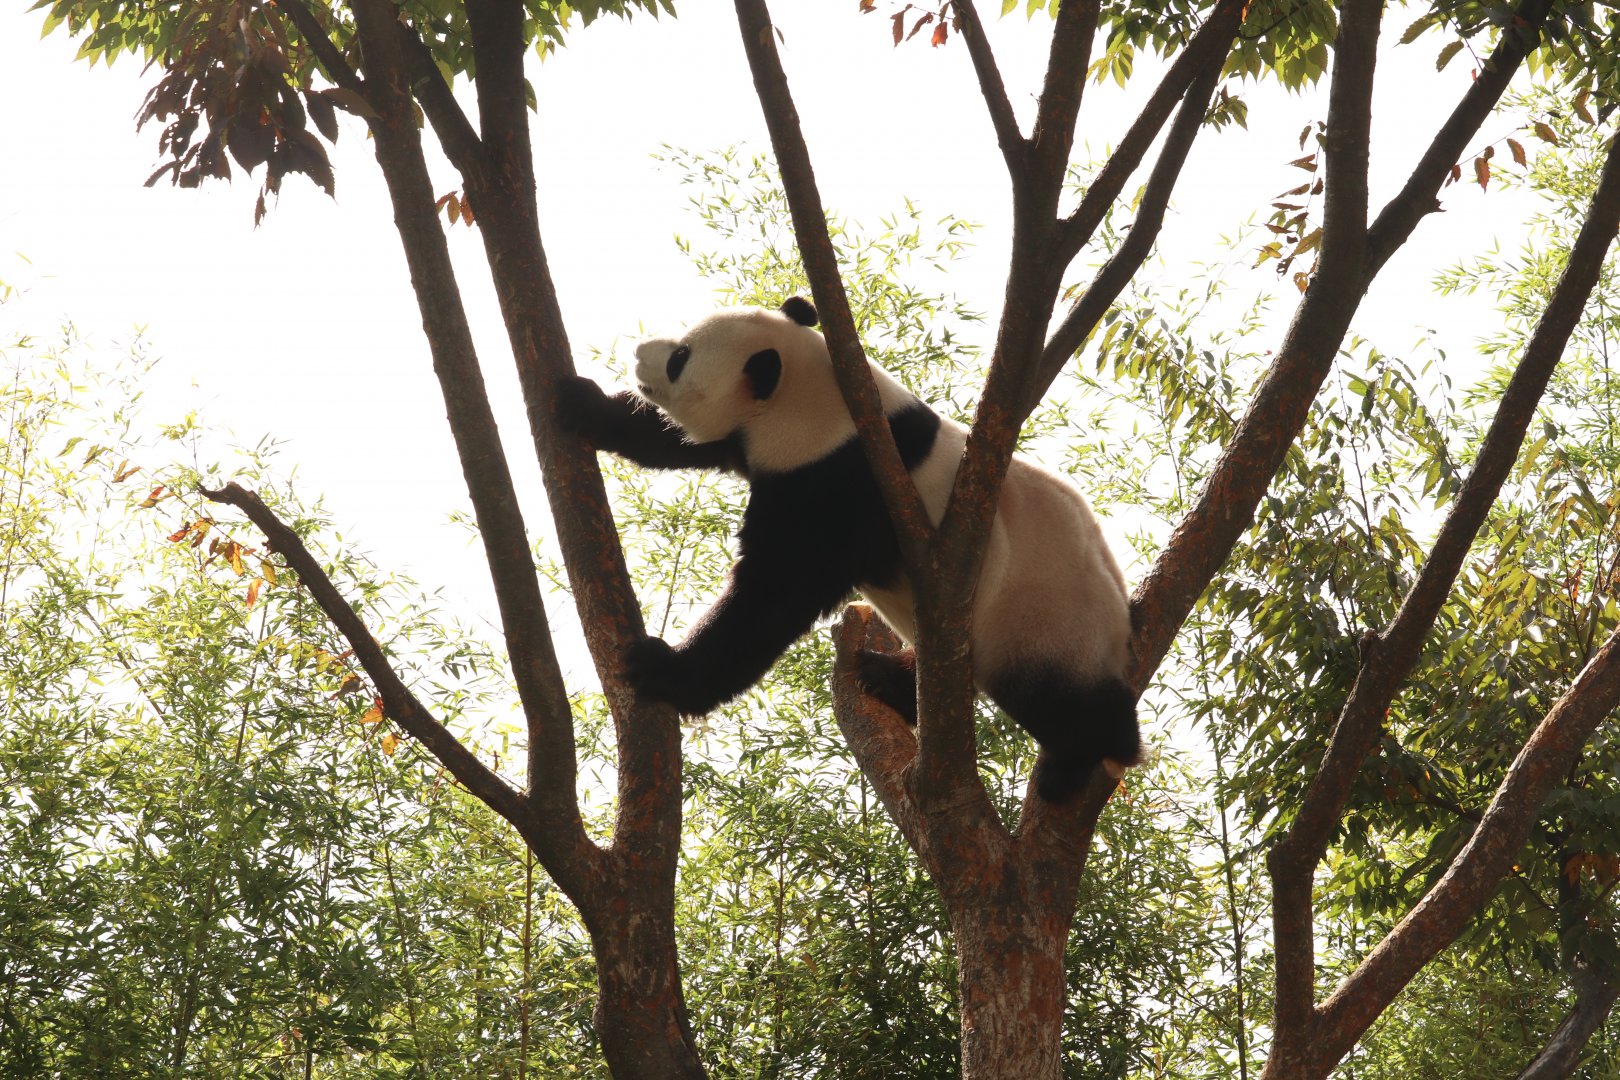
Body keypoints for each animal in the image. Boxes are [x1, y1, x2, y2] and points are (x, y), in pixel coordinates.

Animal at [559, 296, 1138, 800]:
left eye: (680, 358)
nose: (640, 351)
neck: (812, 396)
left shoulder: (839, 481)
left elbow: (775, 592)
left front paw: (661, 667)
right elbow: (675, 441)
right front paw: (580, 403)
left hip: (1040, 621)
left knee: (1062, 701)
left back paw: (1079, 761)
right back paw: (884, 679)